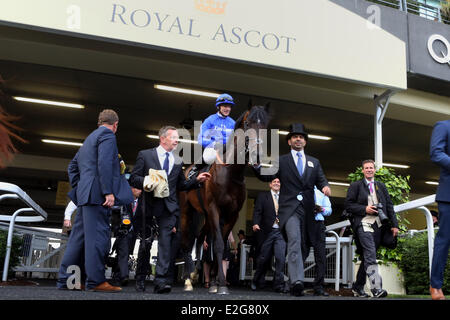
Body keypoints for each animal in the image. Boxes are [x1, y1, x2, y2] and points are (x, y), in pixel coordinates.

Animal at [180, 105, 270, 296]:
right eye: (248, 123)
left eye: (265, 125)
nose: (257, 156)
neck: (231, 173)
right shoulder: (215, 209)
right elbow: (219, 245)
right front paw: (221, 284)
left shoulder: (232, 214)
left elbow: (219, 242)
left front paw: (215, 282)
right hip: (187, 211)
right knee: (186, 240)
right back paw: (187, 279)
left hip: (206, 216)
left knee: (201, 237)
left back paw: (196, 273)